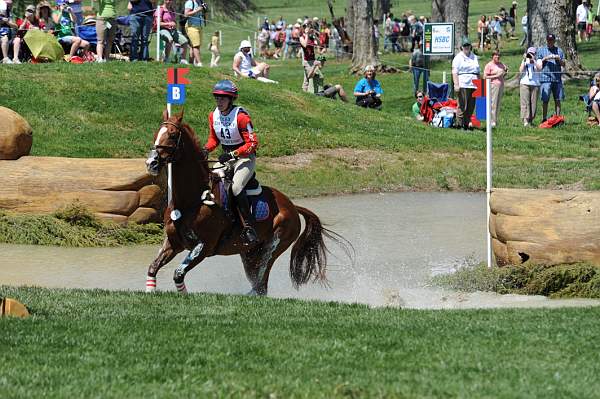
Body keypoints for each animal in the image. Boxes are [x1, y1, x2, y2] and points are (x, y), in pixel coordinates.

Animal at [145, 111, 350, 296]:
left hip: (273, 245)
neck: (192, 199)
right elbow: (152, 268)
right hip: (249, 252)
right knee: (258, 283)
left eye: (172, 135)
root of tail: (291, 206)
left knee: (261, 284)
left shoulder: (204, 246)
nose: (151, 163)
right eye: (156, 133)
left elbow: (178, 273)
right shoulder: (173, 243)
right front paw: (150, 292)